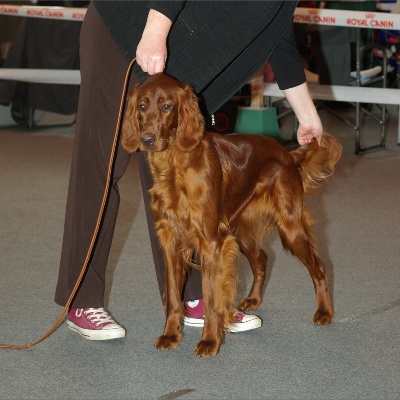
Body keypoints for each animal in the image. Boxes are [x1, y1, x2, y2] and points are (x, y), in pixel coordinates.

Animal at [120, 72, 342, 356]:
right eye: (142, 106)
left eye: (167, 106)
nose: (147, 139)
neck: (174, 165)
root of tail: (288, 153)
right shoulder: (171, 240)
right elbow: (172, 295)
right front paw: (170, 335)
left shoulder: (211, 242)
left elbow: (212, 296)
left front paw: (210, 341)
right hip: (241, 232)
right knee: (262, 259)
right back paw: (253, 299)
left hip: (289, 227)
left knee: (320, 267)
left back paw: (324, 311)